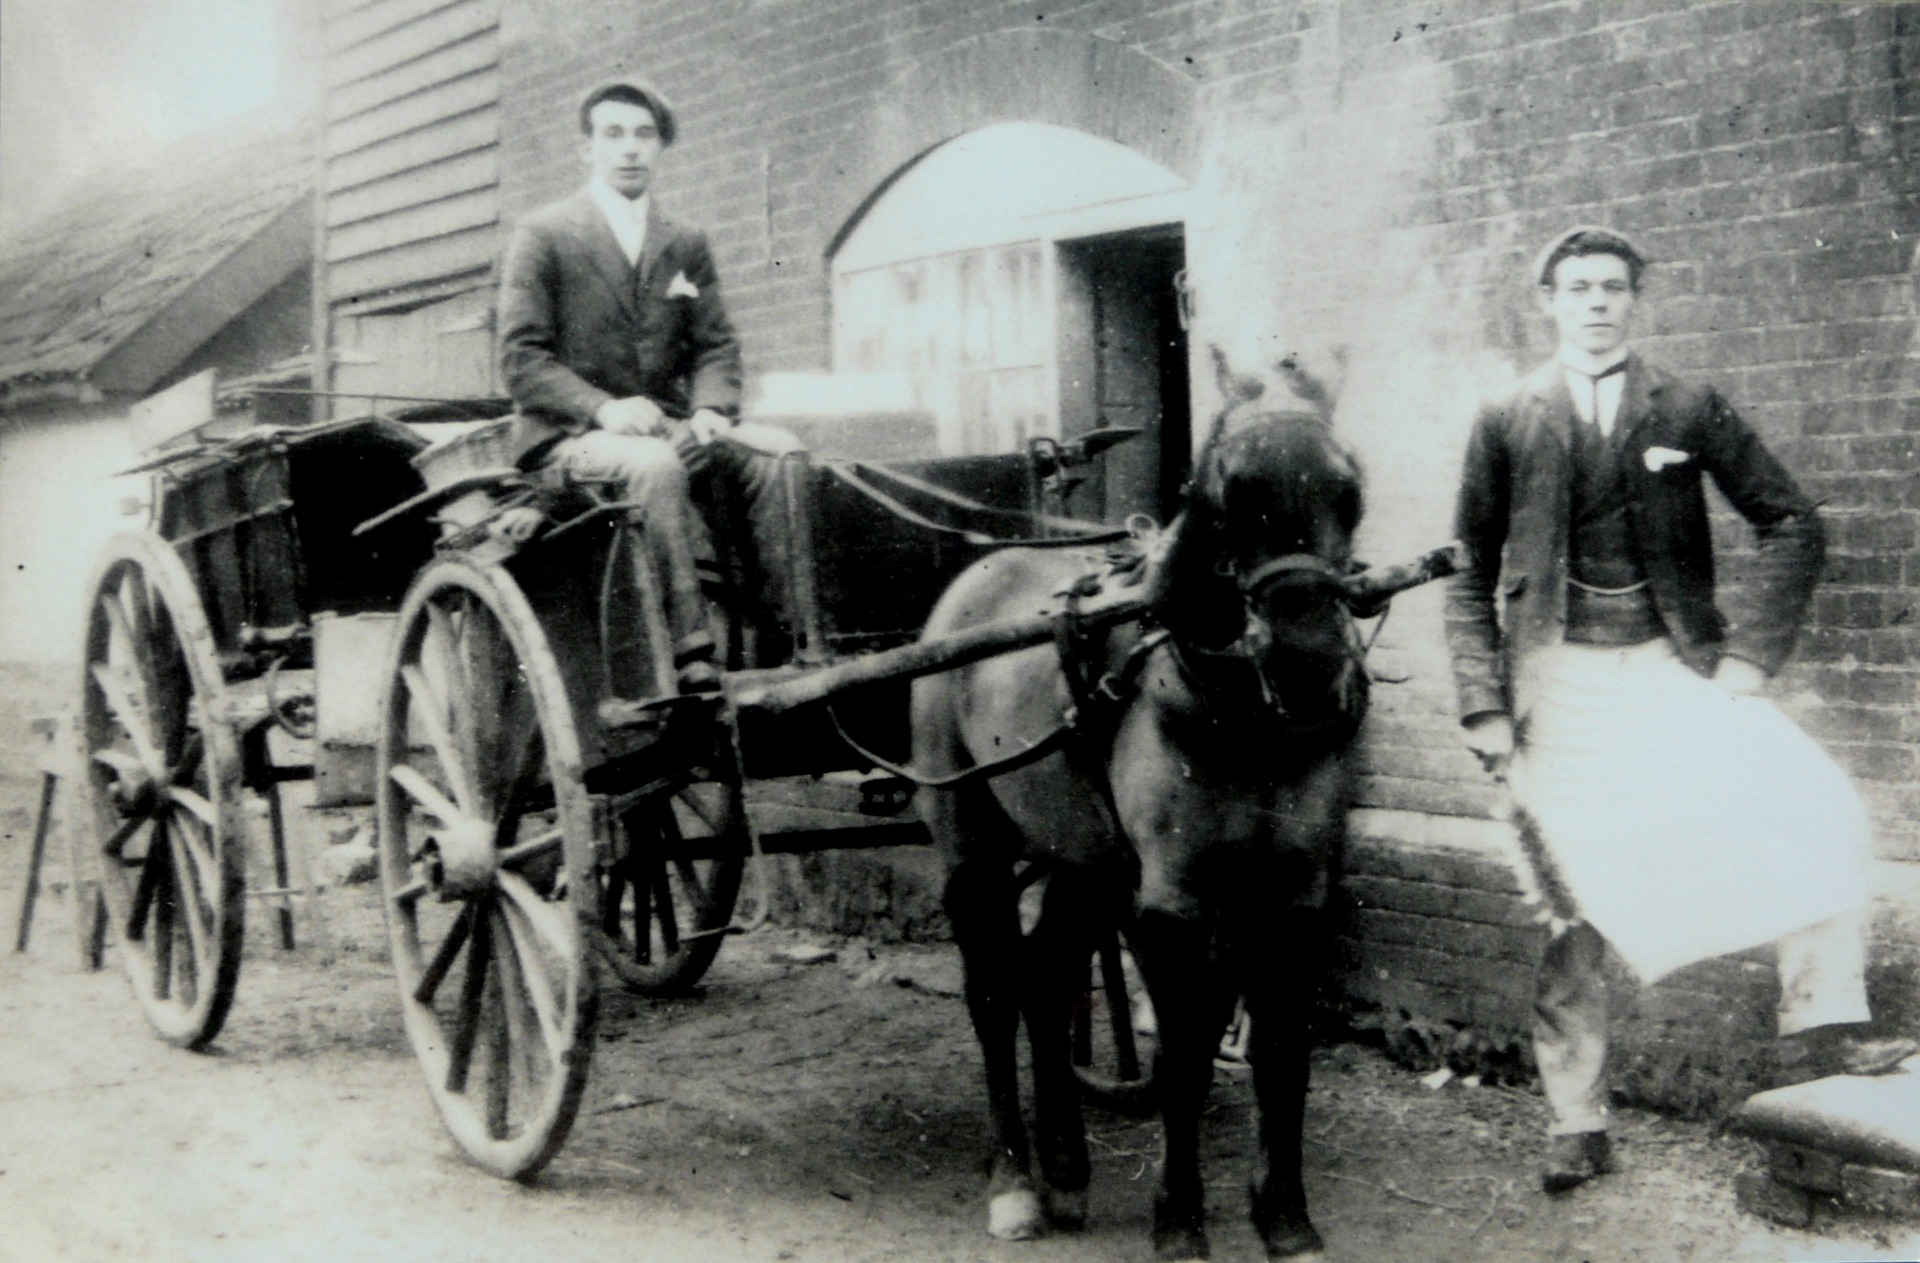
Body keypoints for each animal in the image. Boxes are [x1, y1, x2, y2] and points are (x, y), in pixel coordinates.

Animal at [913, 357, 1367, 1259]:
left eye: (1351, 490)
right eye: (1226, 490)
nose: (1309, 661)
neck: (1238, 711)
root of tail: (977, 577)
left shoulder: (1296, 888)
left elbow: (1282, 1051)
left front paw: (1285, 1215)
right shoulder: (1173, 901)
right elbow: (1182, 1061)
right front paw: (1179, 1219)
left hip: (1083, 856)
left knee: (1045, 974)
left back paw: (1065, 1167)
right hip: (972, 841)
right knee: (994, 991)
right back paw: (1015, 1183)